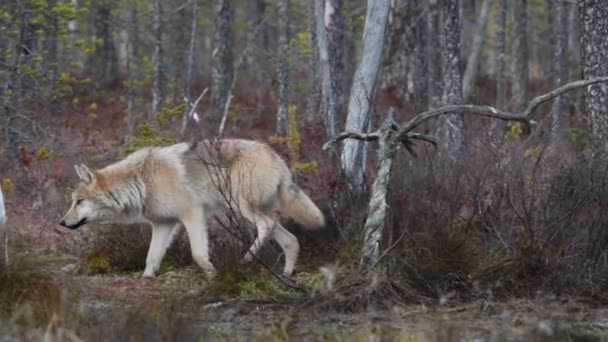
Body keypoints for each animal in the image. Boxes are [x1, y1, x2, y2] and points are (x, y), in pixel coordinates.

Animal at [60, 139, 328, 278]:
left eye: (79, 201)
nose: (62, 222)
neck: (141, 181)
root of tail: (277, 157)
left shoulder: (193, 214)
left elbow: (198, 254)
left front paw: (213, 274)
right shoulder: (163, 225)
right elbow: (151, 257)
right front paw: (147, 278)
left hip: (240, 206)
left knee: (268, 225)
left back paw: (246, 259)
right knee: (290, 239)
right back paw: (287, 273)